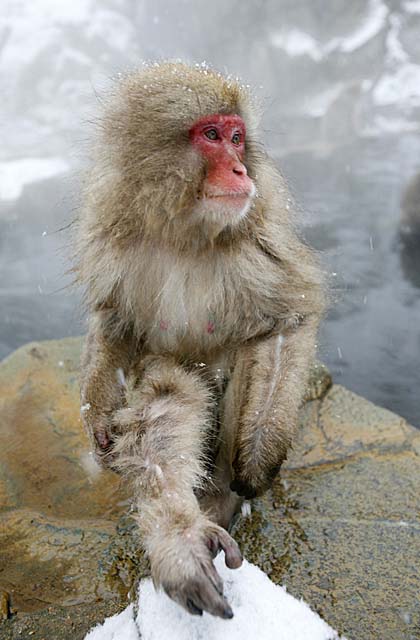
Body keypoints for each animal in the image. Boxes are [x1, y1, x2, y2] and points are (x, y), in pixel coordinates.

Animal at [74, 62, 324, 616]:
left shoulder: (258, 245)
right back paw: (183, 536)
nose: (241, 171)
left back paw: (223, 499)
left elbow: (288, 323)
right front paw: (98, 406)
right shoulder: (115, 237)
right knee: (171, 388)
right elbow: (115, 325)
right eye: (211, 136)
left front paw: (258, 458)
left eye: (237, 138)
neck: (185, 235)